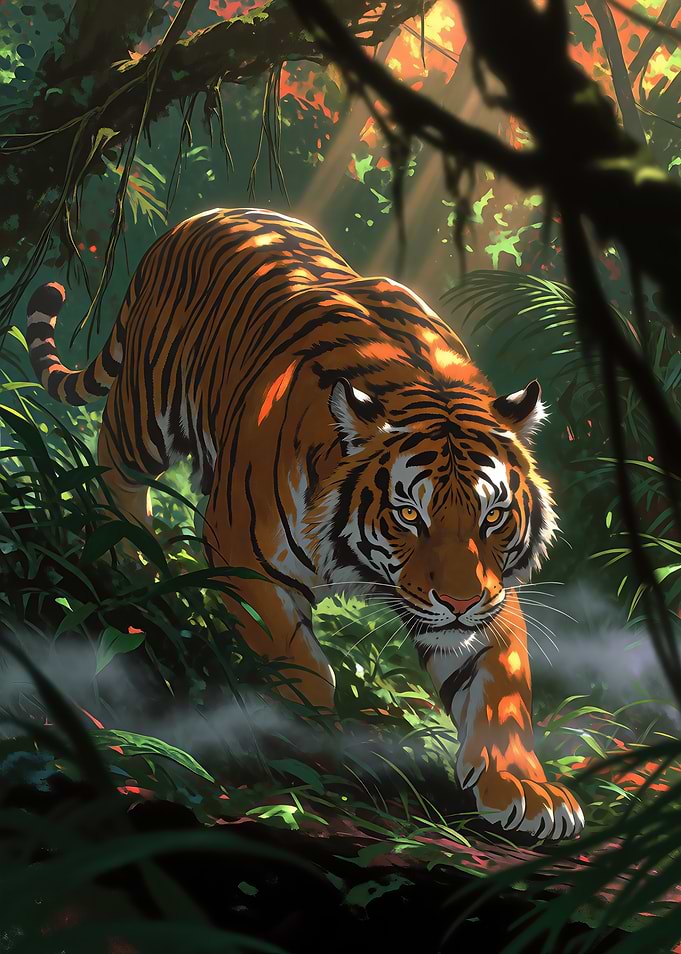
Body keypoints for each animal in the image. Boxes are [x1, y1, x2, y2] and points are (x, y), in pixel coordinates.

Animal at [26, 207, 583, 840]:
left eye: (493, 516)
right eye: (408, 514)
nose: (460, 604)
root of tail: (197, 218)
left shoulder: (494, 590)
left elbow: (501, 686)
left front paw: (526, 791)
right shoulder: (242, 555)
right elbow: (303, 664)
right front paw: (314, 746)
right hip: (143, 414)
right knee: (112, 468)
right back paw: (135, 561)